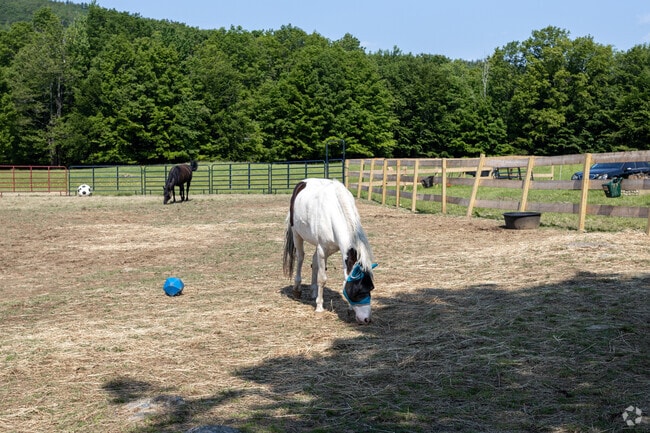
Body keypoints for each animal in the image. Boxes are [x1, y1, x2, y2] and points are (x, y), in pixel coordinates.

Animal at [282, 178, 377, 324]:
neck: (334, 212)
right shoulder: (323, 250)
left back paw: (314, 292)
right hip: (297, 234)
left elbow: (344, 277)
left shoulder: (340, 251)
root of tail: (303, 182)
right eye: (358, 291)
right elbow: (322, 279)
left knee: (314, 261)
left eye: (371, 288)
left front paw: (349, 309)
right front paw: (319, 308)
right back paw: (297, 290)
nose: (367, 319)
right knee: (300, 258)